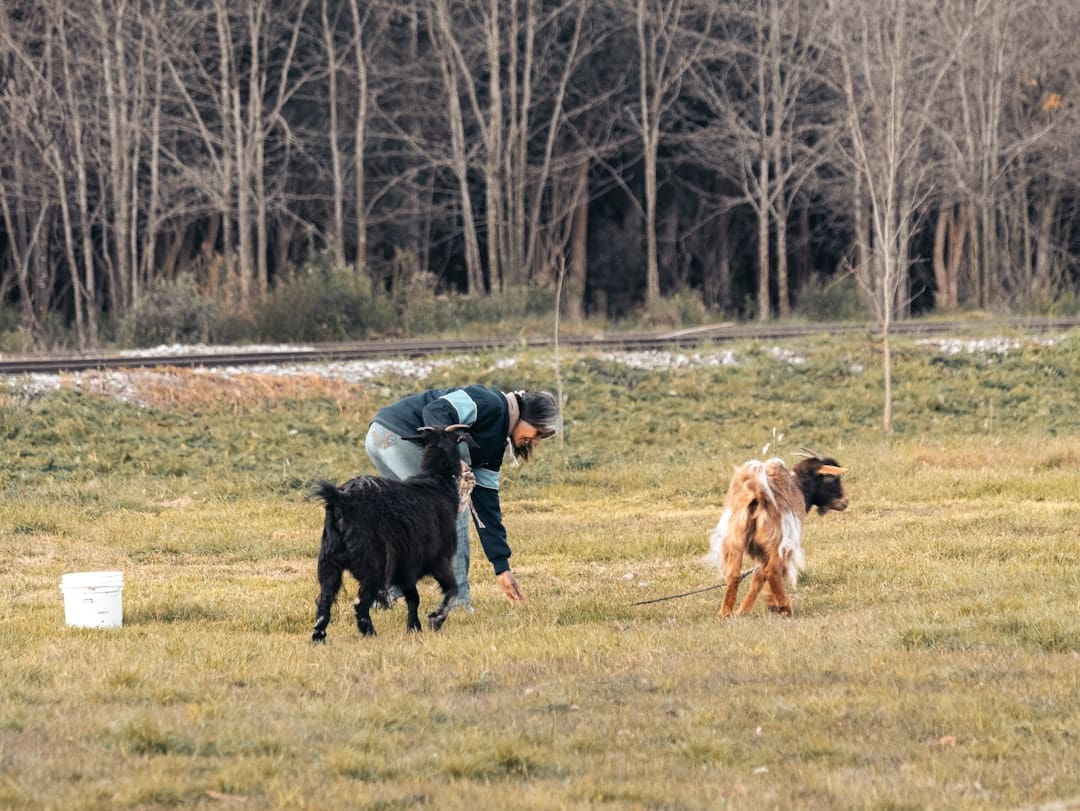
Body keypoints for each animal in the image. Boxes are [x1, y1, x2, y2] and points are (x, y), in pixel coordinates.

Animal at [309, 425, 475, 642]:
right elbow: (451, 590)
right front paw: (435, 620)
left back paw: (318, 637)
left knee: (325, 600)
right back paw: (371, 635)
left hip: (329, 562)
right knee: (360, 603)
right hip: (374, 563)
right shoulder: (440, 559)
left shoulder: (405, 567)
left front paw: (414, 627)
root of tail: (341, 498)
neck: (436, 482)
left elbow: (414, 598)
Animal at [706, 453, 848, 618]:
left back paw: (725, 613)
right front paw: (772, 605)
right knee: (772, 571)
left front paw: (744, 611)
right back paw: (786, 608)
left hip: (736, 537)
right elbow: (767, 572)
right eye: (832, 479)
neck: (799, 487)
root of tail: (758, 492)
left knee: (735, 574)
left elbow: (758, 576)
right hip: (777, 540)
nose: (845, 502)